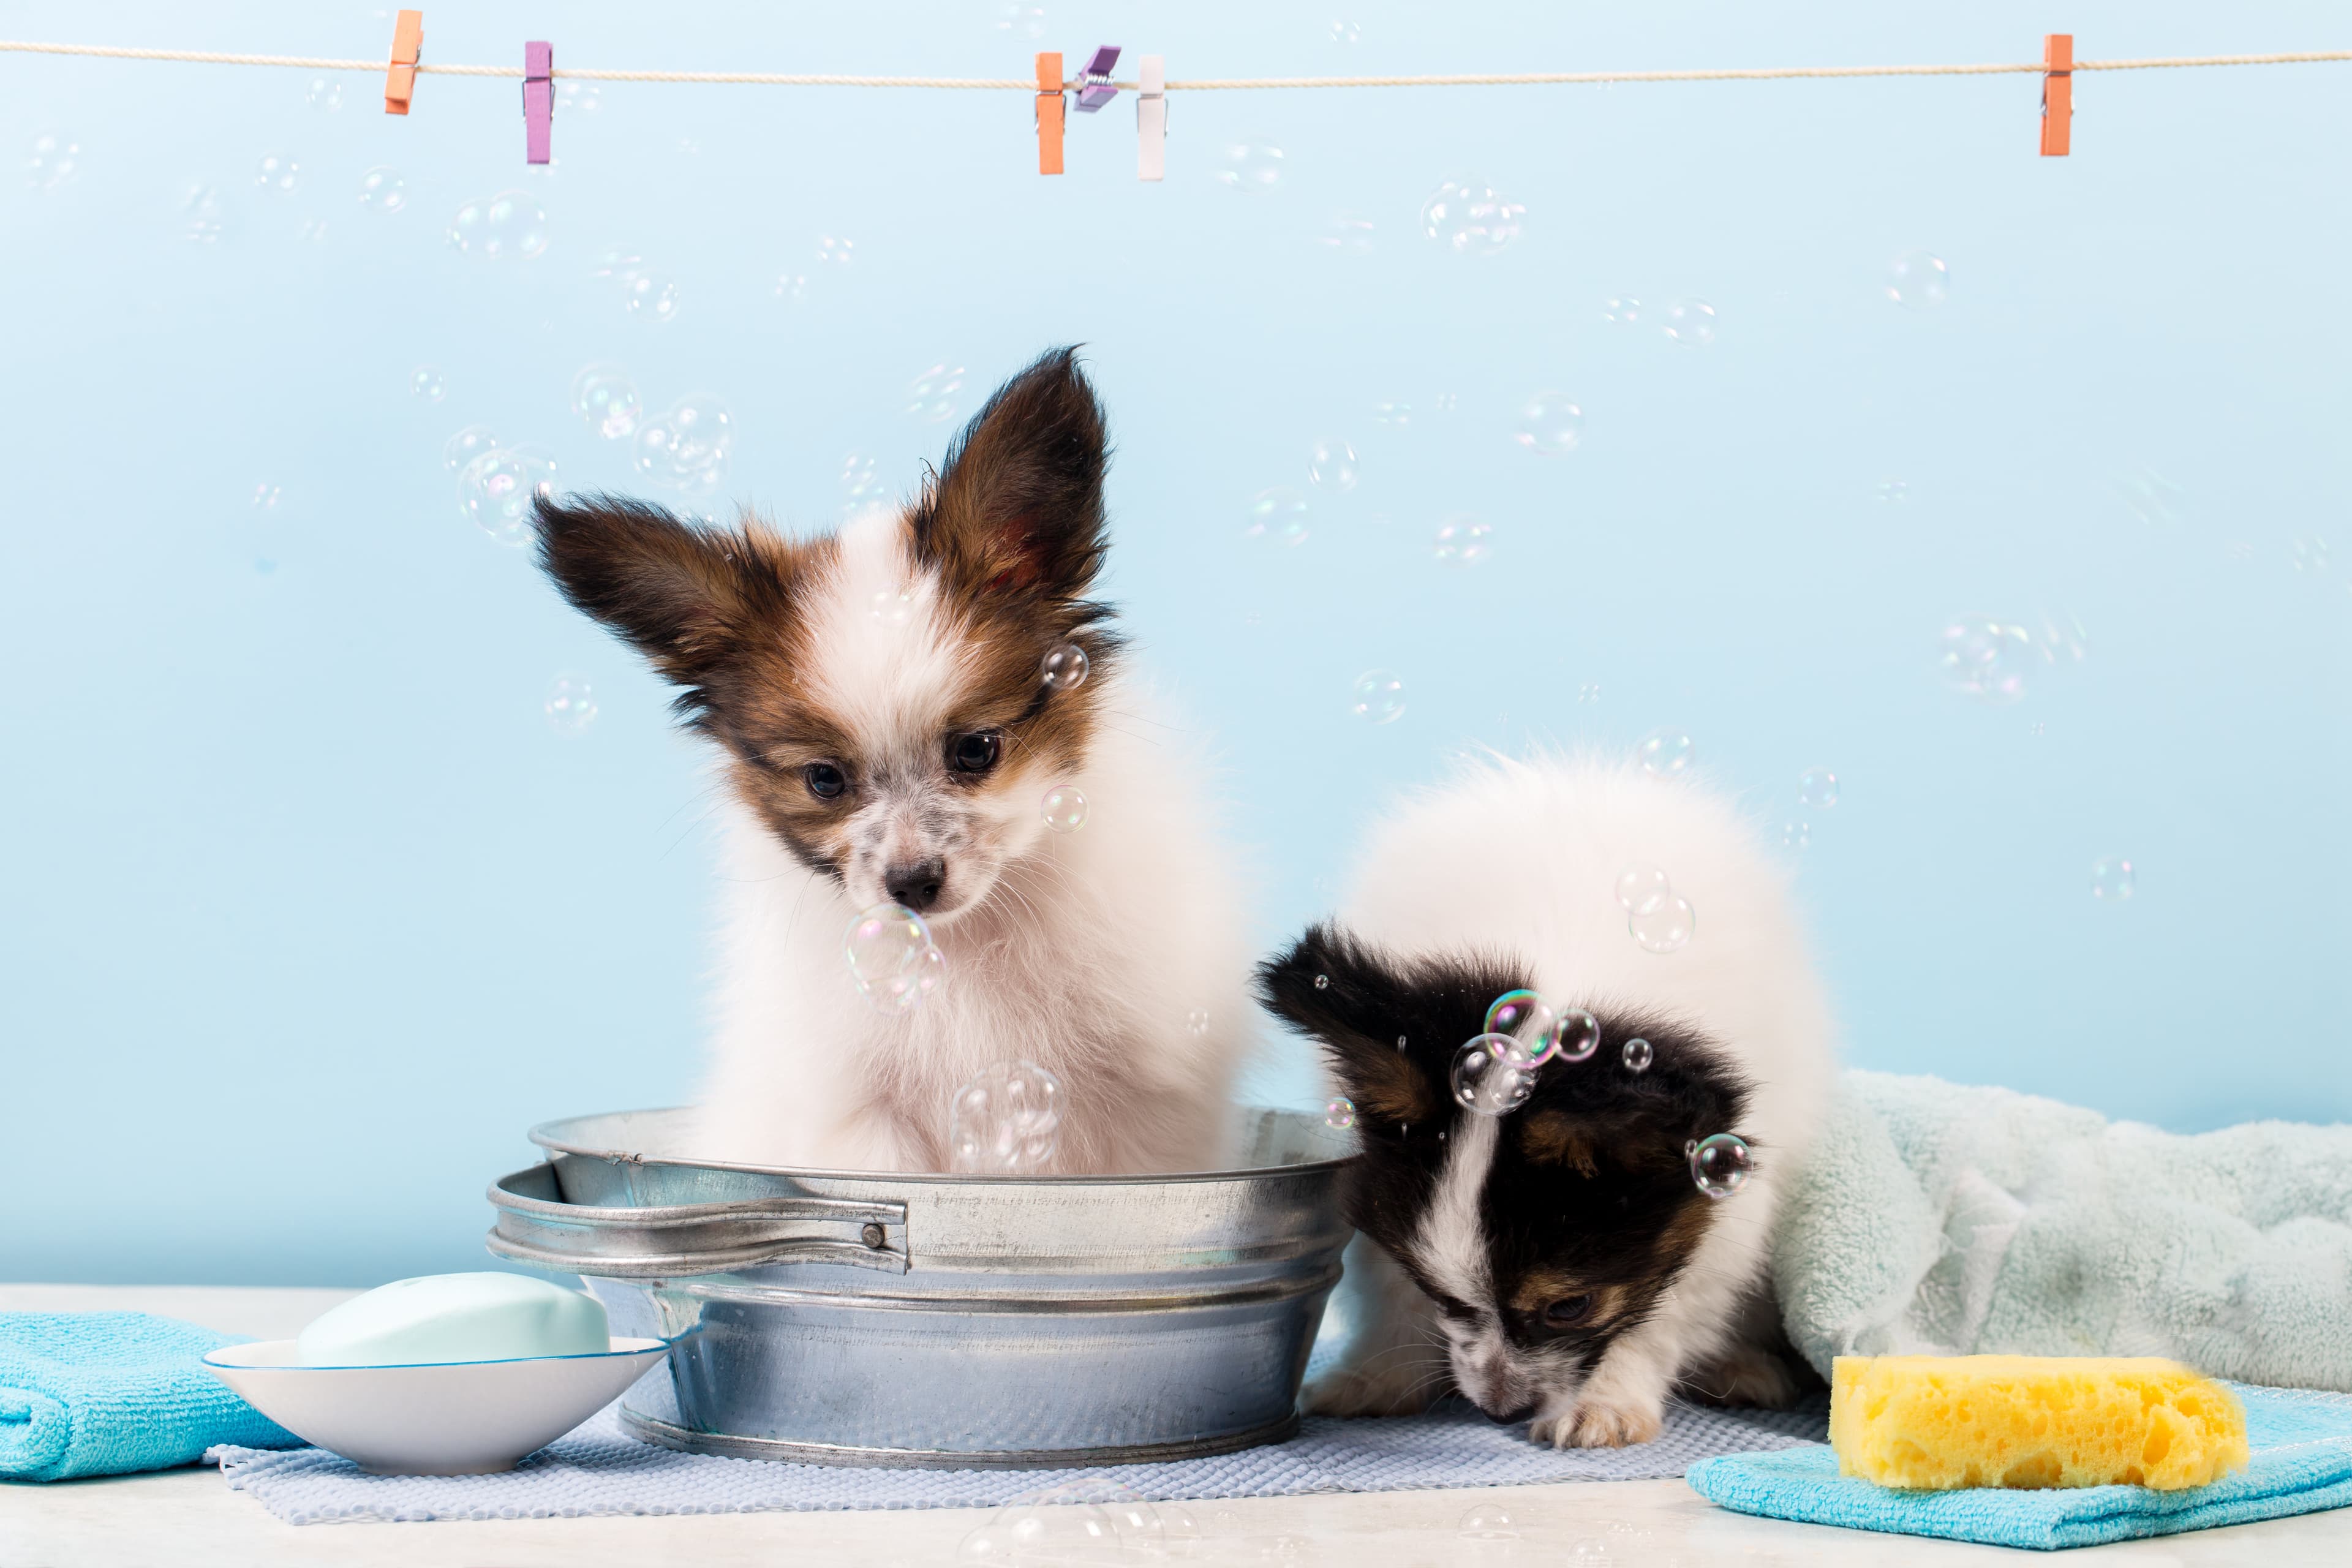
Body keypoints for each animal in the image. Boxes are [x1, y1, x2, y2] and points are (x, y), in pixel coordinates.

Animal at [536, 345, 1261, 1175]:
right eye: (825, 779)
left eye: (976, 750)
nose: (911, 883)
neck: (961, 948)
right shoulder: (863, 1121)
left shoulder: (1145, 1114)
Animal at [1270, 752, 1834, 1457]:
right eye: (1441, 1296)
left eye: (1571, 1307)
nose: (1500, 1409)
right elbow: (1389, 1288)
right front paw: (1378, 1374)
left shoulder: (1720, 1197)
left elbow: (1656, 1316)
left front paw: (1605, 1403)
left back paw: (1741, 1367)